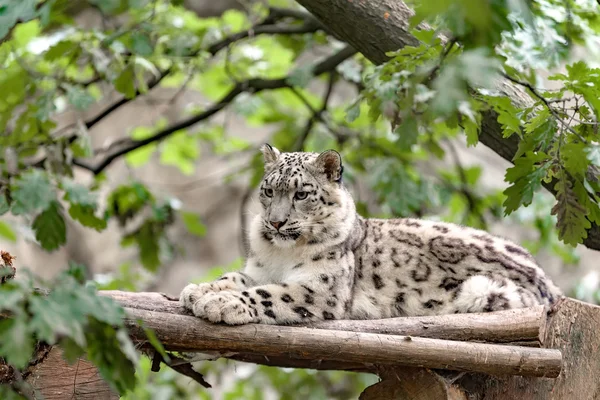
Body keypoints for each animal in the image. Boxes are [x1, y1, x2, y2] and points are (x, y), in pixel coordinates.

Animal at [179, 144, 564, 324]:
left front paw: (221, 303)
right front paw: (199, 290)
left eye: (301, 194)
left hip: (483, 292)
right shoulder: (258, 270)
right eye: (269, 190)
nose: (275, 223)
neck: (282, 254)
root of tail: (550, 282)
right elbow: (237, 278)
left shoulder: (319, 288)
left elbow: (268, 293)